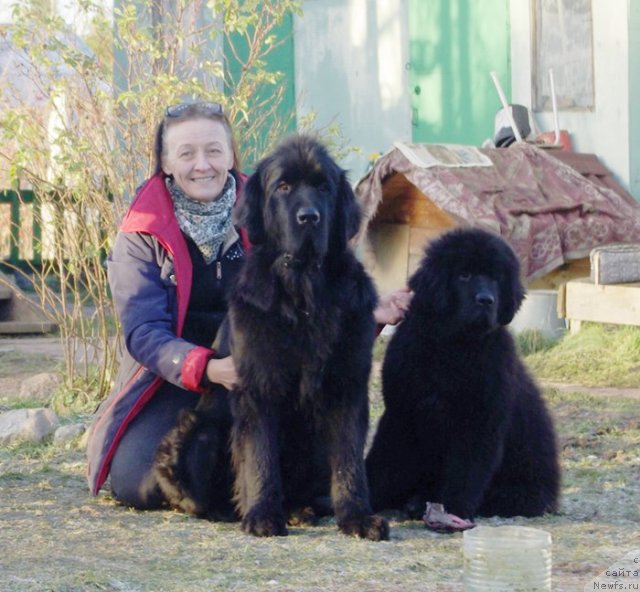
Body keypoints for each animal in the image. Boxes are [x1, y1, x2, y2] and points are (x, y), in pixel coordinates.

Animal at [225, 135, 388, 540]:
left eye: (323, 188)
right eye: (283, 187)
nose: (309, 217)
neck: (303, 294)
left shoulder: (348, 381)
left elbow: (348, 457)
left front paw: (357, 516)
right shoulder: (257, 384)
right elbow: (261, 455)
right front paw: (262, 514)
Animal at [364, 229, 560, 520]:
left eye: (495, 278)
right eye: (464, 275)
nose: (486, 300)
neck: (453, 345)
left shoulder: (479, 419)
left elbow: (466, 470)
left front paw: (452, 510)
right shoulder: (402, 412)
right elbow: (384, 462)